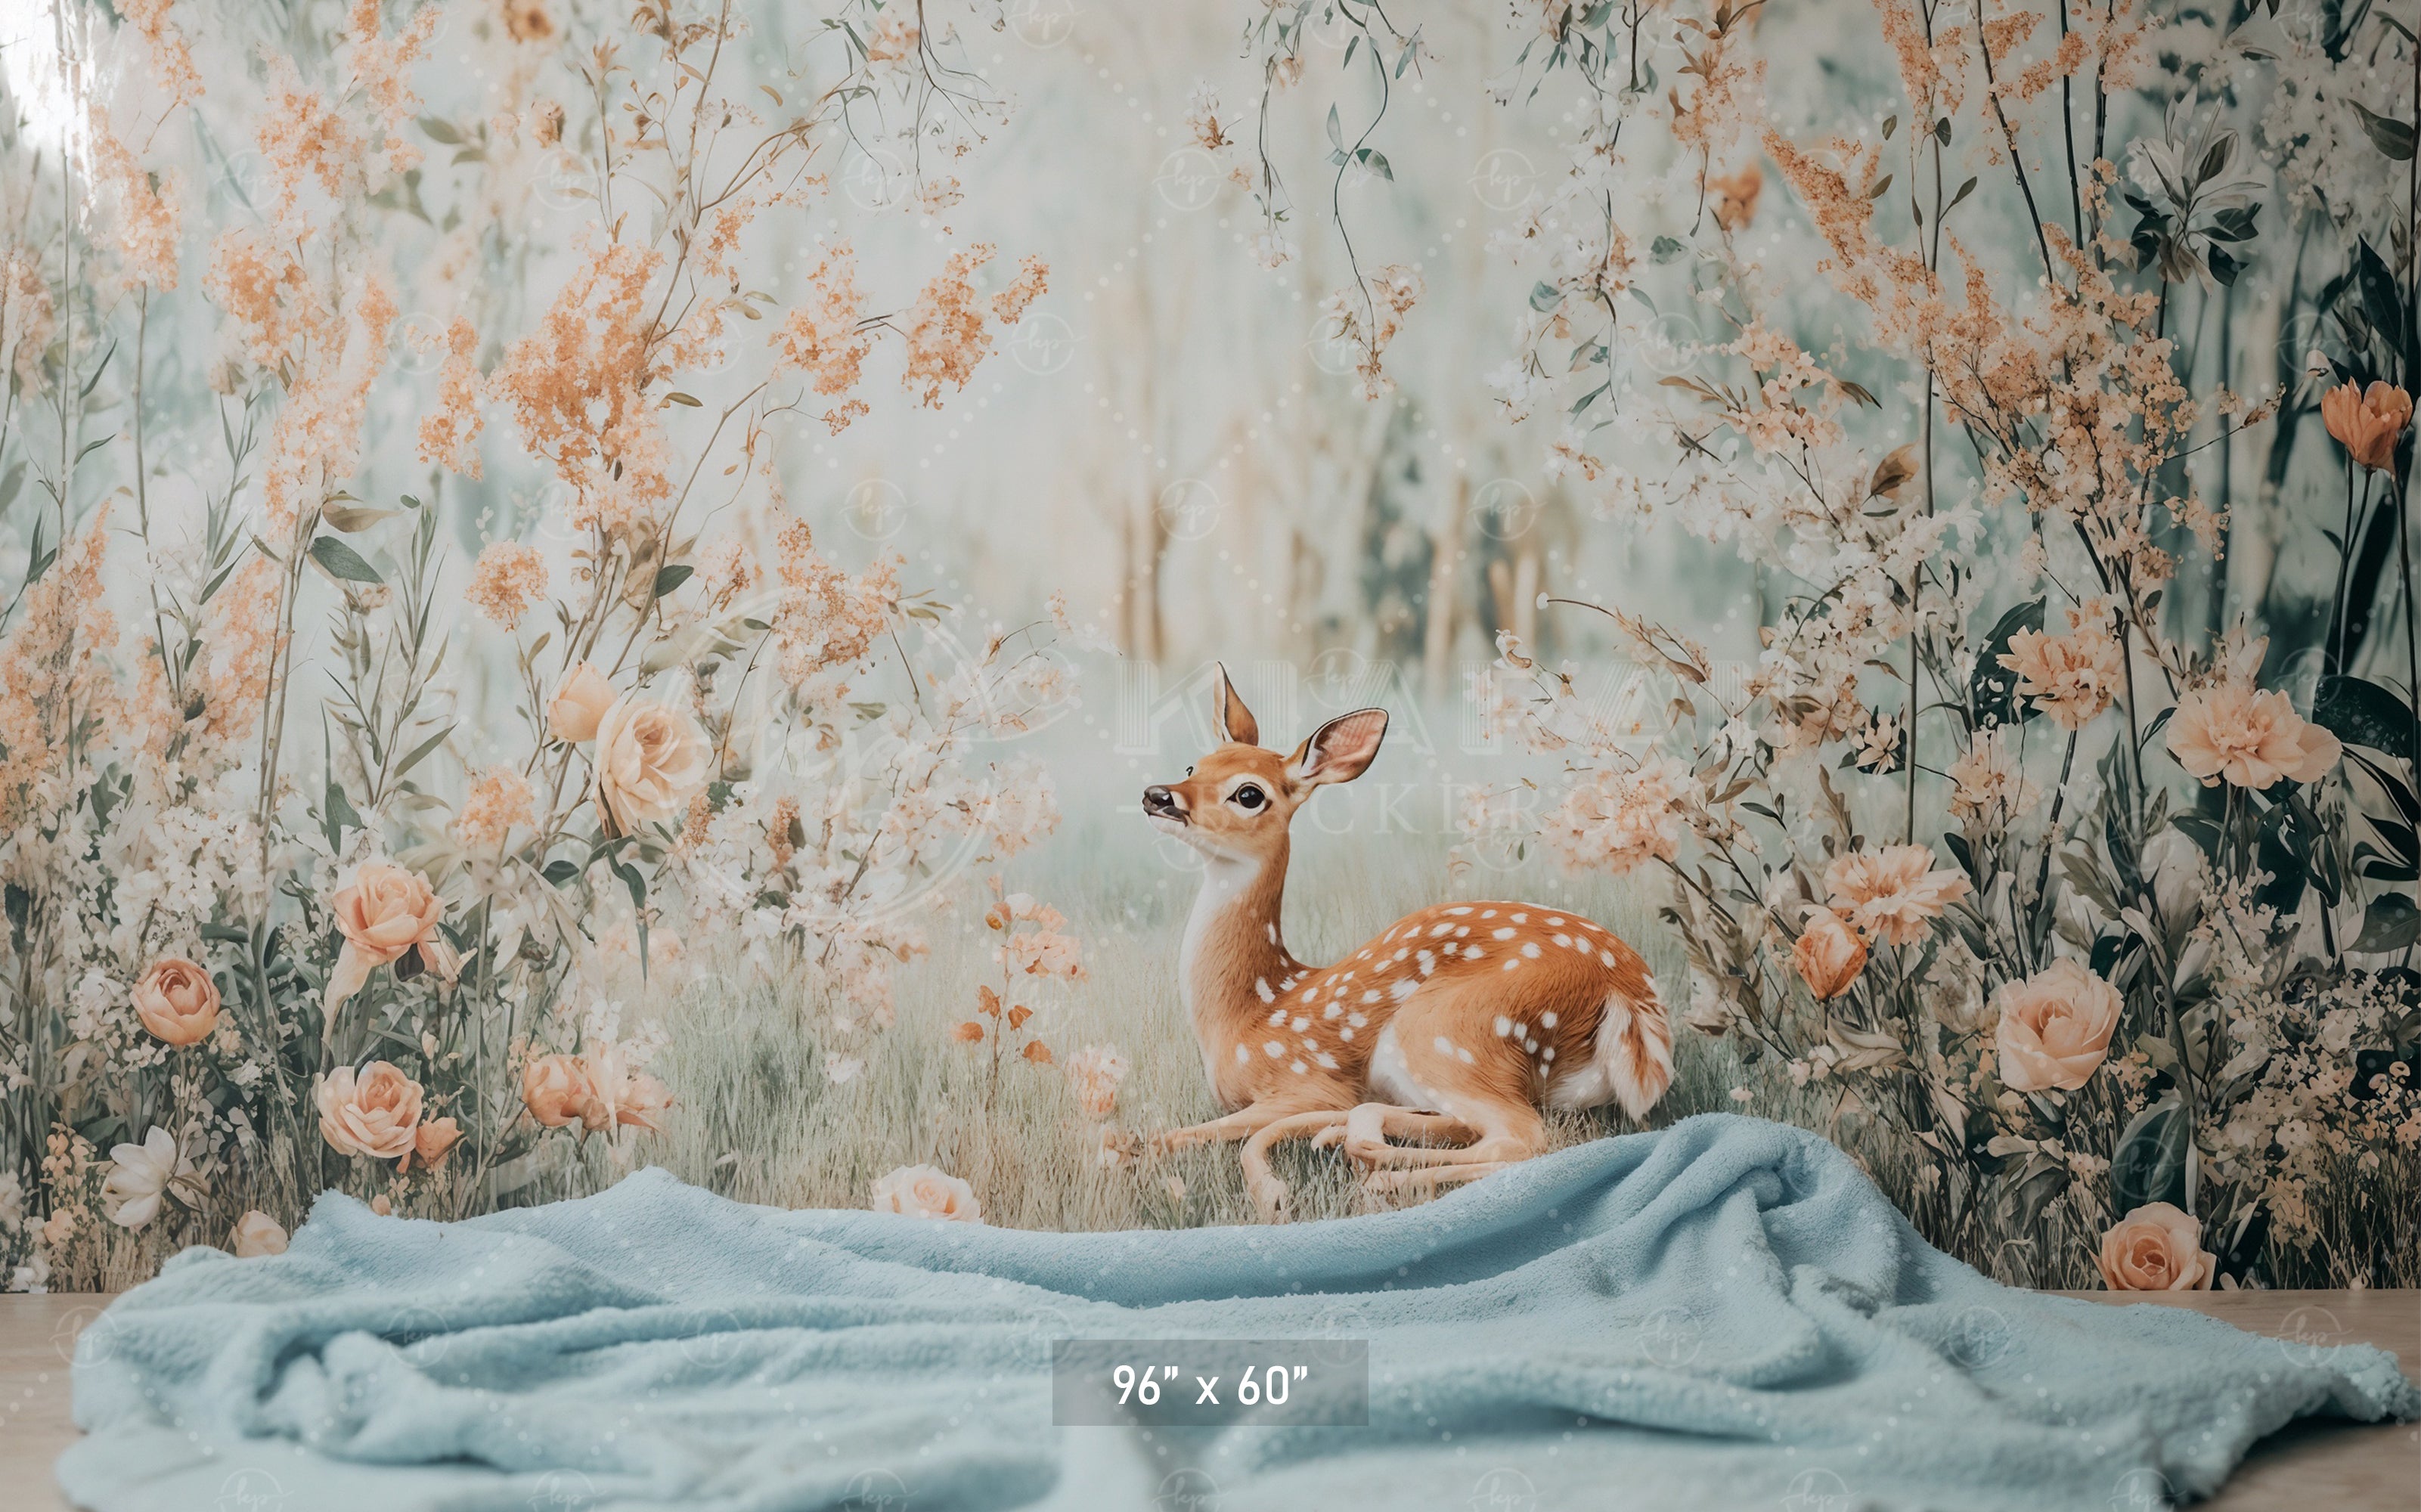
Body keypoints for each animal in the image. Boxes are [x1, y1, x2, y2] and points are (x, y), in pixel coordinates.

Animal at [1140, 666, 1674, 1219]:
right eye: (1194, 765)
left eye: (1249, 794)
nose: (1159, 796)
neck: (1246, 1014)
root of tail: (1628, 996)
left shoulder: (1306, 1082)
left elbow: (1167, 1139)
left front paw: (1270, 1194)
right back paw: (1343, 1141)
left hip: (1448, 1028)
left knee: (1523, 1139)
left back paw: (1376, 1175)